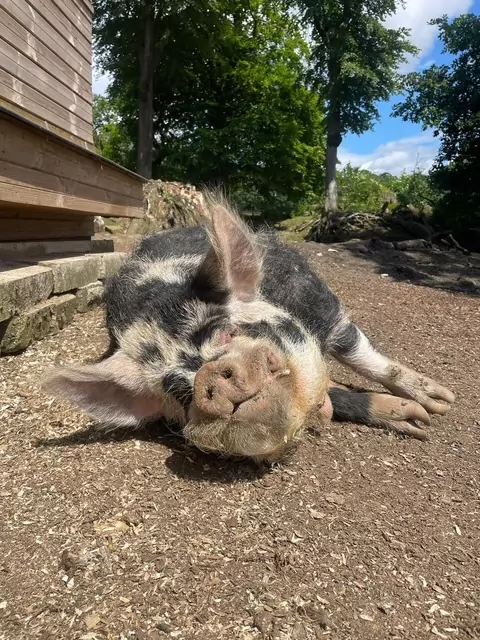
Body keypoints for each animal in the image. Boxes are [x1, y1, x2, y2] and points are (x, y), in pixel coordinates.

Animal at [43, 193, 455, 463]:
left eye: (225, 330)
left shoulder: (321, 306)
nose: (207, 377)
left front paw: (437, 407)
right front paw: (414, 420)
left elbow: (362, 354)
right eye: (178, 391)